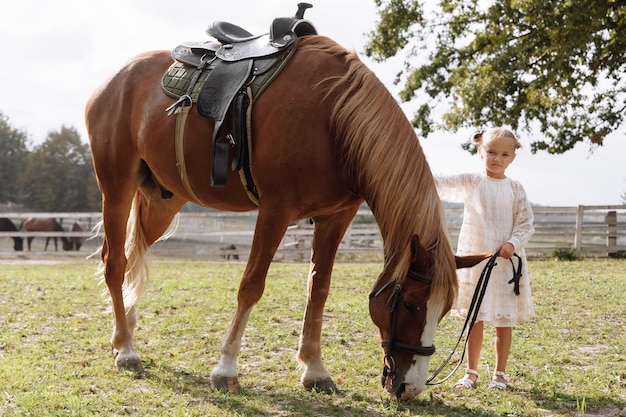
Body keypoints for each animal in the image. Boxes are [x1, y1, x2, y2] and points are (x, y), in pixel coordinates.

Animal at [84, 22, 482, 396]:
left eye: (446, 308)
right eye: (412, 303)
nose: (410, 387)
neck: (333, 117)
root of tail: (112, 81)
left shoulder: (336, 216)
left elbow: (318, 289)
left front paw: (315, 369)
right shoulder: (276, 209)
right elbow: (251, 286)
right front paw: (226, 368)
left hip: (161, 201)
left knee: (134, 254)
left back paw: (124, 332)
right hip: (116, 189)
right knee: (114, 262)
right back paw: (126, 350)